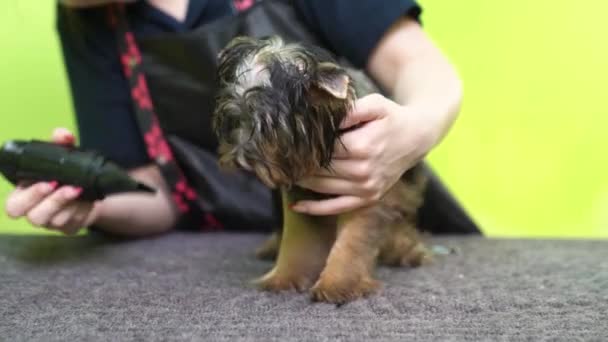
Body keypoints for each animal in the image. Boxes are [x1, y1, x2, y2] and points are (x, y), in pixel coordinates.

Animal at [214, 36, 432, 304]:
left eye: (270, 129)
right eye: (239, 119)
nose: (239, 160)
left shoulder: (368, 183)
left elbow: (353, 238)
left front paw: (337, 284)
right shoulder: (298, 183)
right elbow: (297, 236)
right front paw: (283, 277)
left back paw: (404, 249)